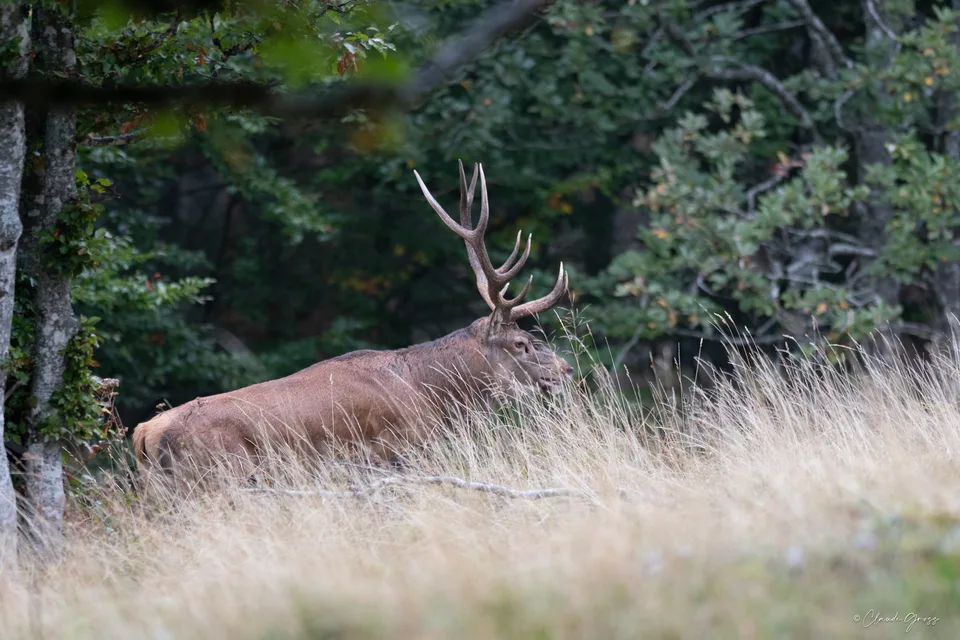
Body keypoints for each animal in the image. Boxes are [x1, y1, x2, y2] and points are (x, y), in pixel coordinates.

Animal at [132, 161, 573, 481]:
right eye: (521, 344)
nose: (566, 369)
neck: (432, 394)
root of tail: (144, 434)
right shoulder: (391, 449)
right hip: (220, 476)